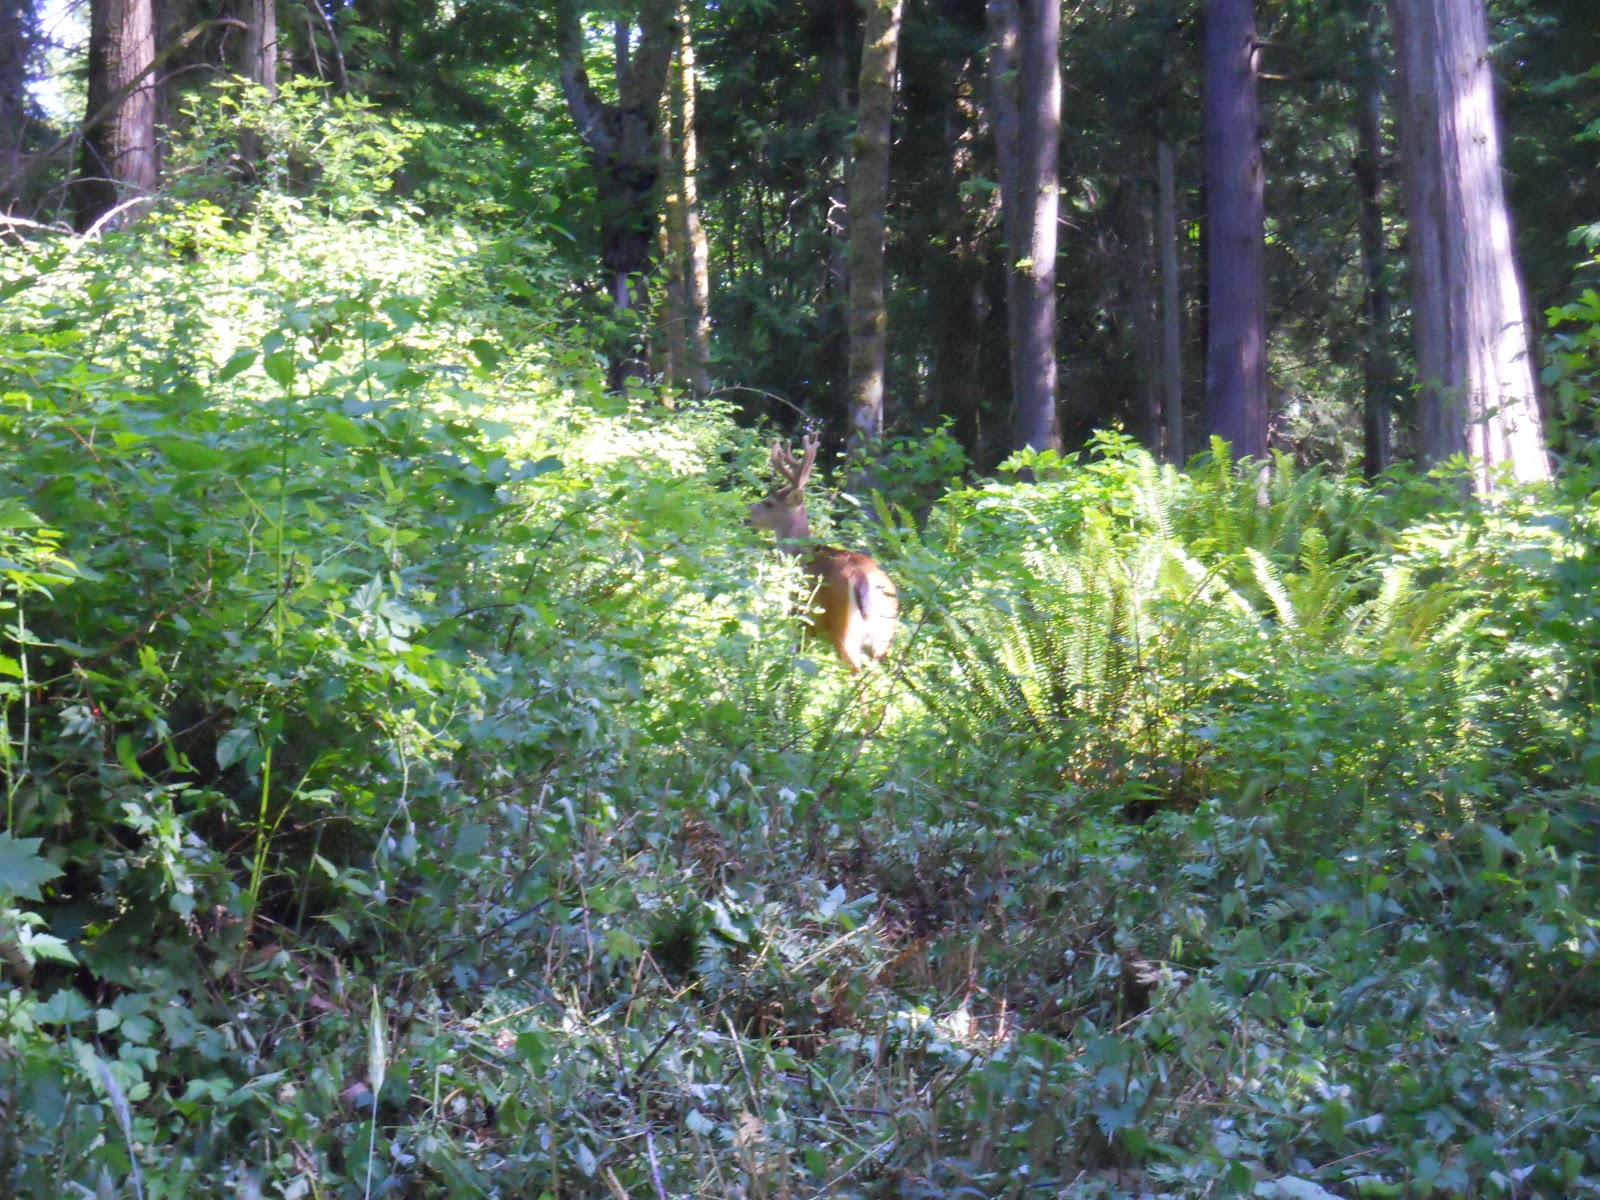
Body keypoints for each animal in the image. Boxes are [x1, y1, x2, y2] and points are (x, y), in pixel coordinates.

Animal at [747, 433, 899, 672]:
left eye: (769, 503)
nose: (748, 513)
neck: (802, 554)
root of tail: (864, 579)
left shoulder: (801, 615)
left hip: (843, 626)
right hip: (884, 634)